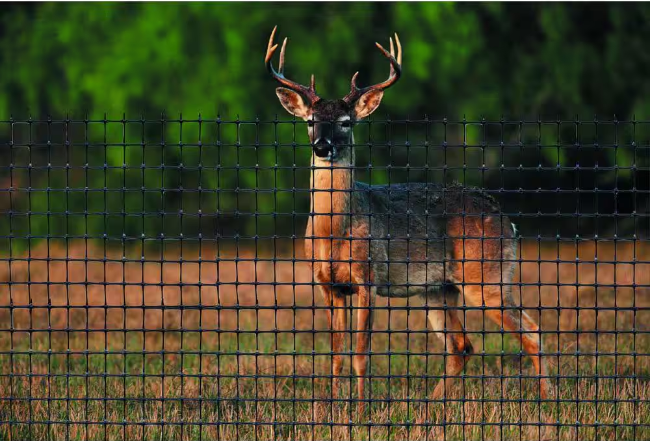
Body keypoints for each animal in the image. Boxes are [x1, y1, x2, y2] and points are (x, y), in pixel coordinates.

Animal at [264, 26, 552, 412]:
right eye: (310, 121)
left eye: (346, 123)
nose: (322, 146)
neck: (334, 232)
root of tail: (508, 220)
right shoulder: (328, 284)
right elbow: (337, 354)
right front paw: (334, 407)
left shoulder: (368, 278)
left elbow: (361, 354)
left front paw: (360, 410)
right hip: (439, 288)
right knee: (462, 346)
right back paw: (430, 406)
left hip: (488, 277)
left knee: (531, 331)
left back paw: (547, 402)